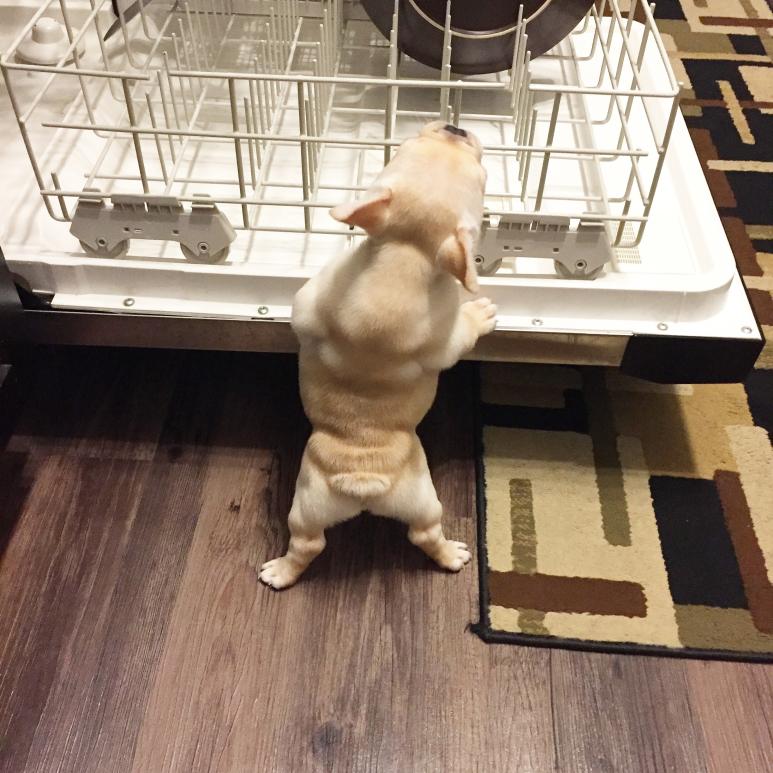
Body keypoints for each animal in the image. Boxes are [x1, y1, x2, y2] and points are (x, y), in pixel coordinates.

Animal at [260, 120, 494, 588]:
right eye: (482, 178)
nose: (455, 126)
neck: (405, 257)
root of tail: (363, 479)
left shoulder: (309, 300)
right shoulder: (446, 336)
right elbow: (464, 332)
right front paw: (480, 312)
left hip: (311, 503)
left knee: (309, 542)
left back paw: (281, 572)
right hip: (414, 499)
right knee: (423, 533)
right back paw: (452, 555)